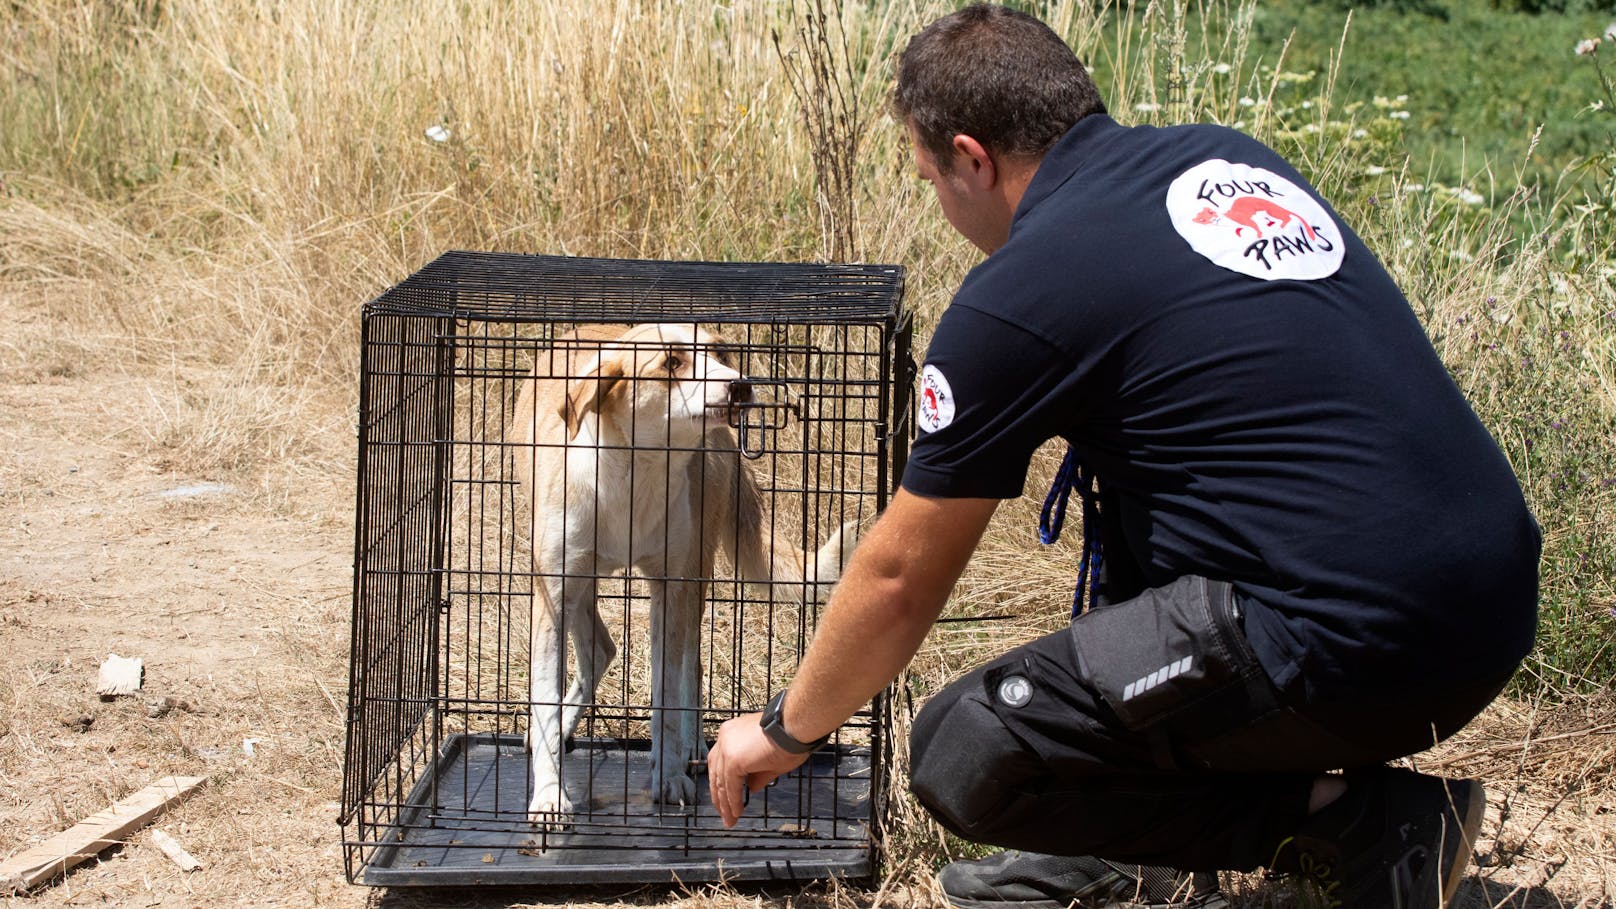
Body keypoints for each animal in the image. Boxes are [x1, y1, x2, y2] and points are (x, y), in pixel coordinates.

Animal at [513, 323, 859, 815]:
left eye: (721, 354)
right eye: (671, 363)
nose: (740, 386)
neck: (635, 472)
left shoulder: (671, 588)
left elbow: (667, 695)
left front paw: (669, 775)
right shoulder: (554, 593)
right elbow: (544, 697)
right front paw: (547, 796)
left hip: (695, 573)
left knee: (686, 665)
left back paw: (693, 746)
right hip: (582, 584)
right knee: (600, 649)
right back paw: (565, 728)